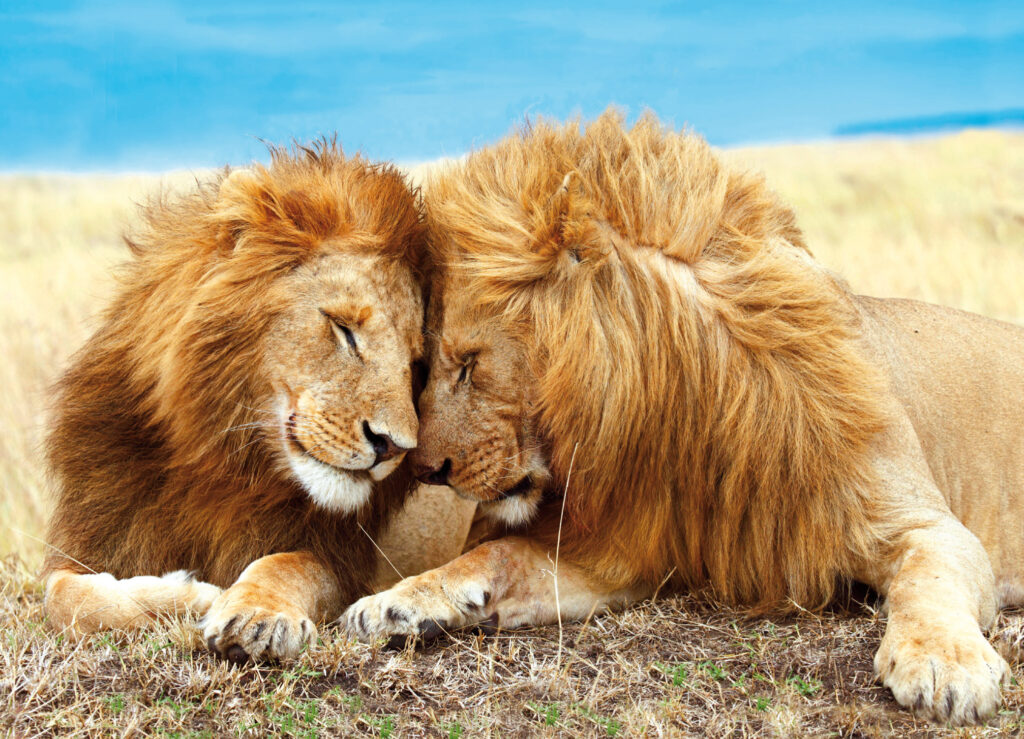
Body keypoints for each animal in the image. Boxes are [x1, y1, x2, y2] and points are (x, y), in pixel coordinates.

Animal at [42, 140, 468, 662]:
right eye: (344, 329)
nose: (393, 446)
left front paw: (255, 615)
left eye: (415, 364)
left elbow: (283, 564)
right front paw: (188, 595)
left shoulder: (339, 559)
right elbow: (63, 597)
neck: (222, 460)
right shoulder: (93, 537)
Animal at [343, 112, 1024, 724]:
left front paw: (945, 664)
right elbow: (499, 555)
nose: (426, 469)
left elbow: (928, 581)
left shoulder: (924, 524)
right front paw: (399, 602)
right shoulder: (624, 551)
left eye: (468, 364)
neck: (685, 407)